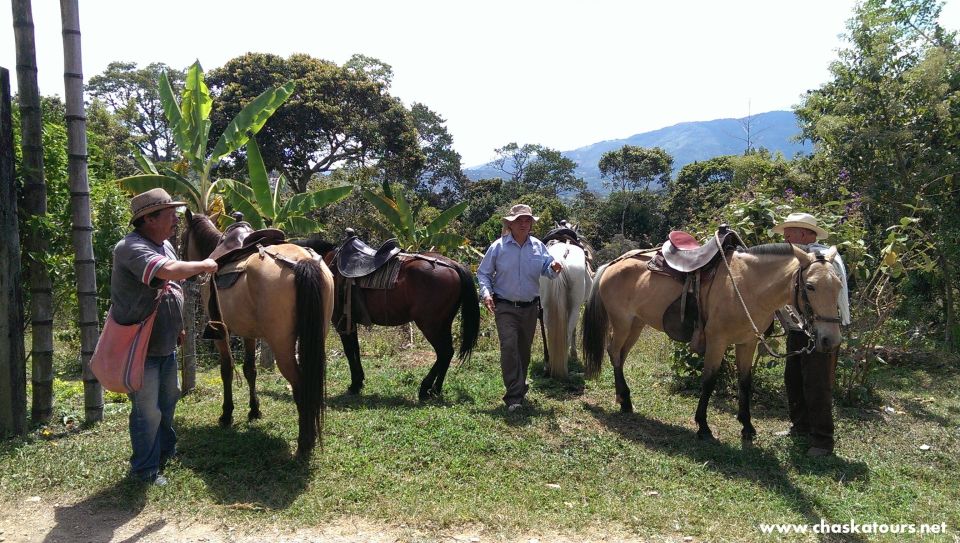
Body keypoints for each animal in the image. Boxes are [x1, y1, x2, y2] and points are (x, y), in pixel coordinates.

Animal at [182, 212, 336, 460]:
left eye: (183, 237)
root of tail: (302, 262)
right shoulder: (249, 332)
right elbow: (250, 370)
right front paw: (254, 410)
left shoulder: (221, 333)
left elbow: (227, 370)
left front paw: (227, 414)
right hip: (316, 337)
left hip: (282, 346)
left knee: (301, 386)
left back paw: (304, 444)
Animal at [296, 236, 480, 402]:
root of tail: (453, 265)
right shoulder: (350, 322)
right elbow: (355, 349)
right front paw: (359, 381)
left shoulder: (341, 322)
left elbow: (349, 351)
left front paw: (354, 385)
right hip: (443, 323)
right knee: (447, 354)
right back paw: (435, 389)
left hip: (430, 325)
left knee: (444, 352)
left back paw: (426, 388)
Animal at [576, 240, 840, 444]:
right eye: (810, 286)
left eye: (838, 285)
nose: (831, 339)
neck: (747, 286)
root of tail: (613, 263)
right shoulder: (717, 342)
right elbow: (709, 381)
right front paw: (703, 426)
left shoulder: (747, 343)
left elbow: (745, 383)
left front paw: (747, 426)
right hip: (622, 322)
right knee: (614, 352)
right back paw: (625, 400)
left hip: (636, 325)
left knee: (620, 355)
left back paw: (623, 398)